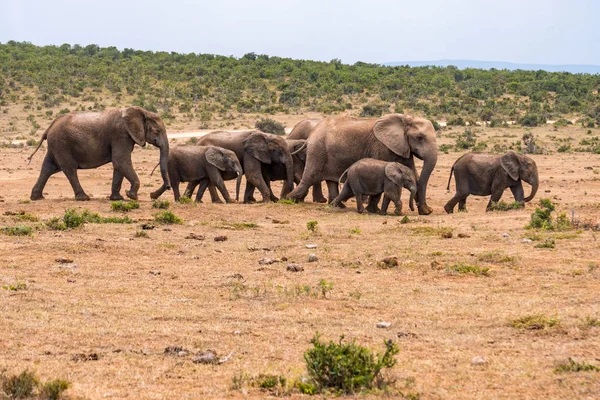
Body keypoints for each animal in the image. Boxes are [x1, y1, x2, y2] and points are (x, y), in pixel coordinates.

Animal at [28, 107, 169, 202]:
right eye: (157, 130)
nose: (152, 195)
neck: (141, 111)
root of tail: (49, 127)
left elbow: (119, 165)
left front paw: (118, 198)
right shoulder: (121, 135)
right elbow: (120, 161)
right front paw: (131, 196)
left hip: (56, 145)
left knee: (48, 168)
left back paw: (37, 197)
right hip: (61, 144)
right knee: (69, 169)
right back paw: (83, 198)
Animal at [284, 114, 436, 214]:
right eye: (420, 138)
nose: (415, 208)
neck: (405, 118)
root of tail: (312, 134)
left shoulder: (403, 147)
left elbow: (414, 175)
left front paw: (426, 211)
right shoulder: (382, 146)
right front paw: (374, 210)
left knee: (331, 180)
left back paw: (338, 206)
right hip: (317, 151)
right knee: (309, 177)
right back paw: (289, 199)